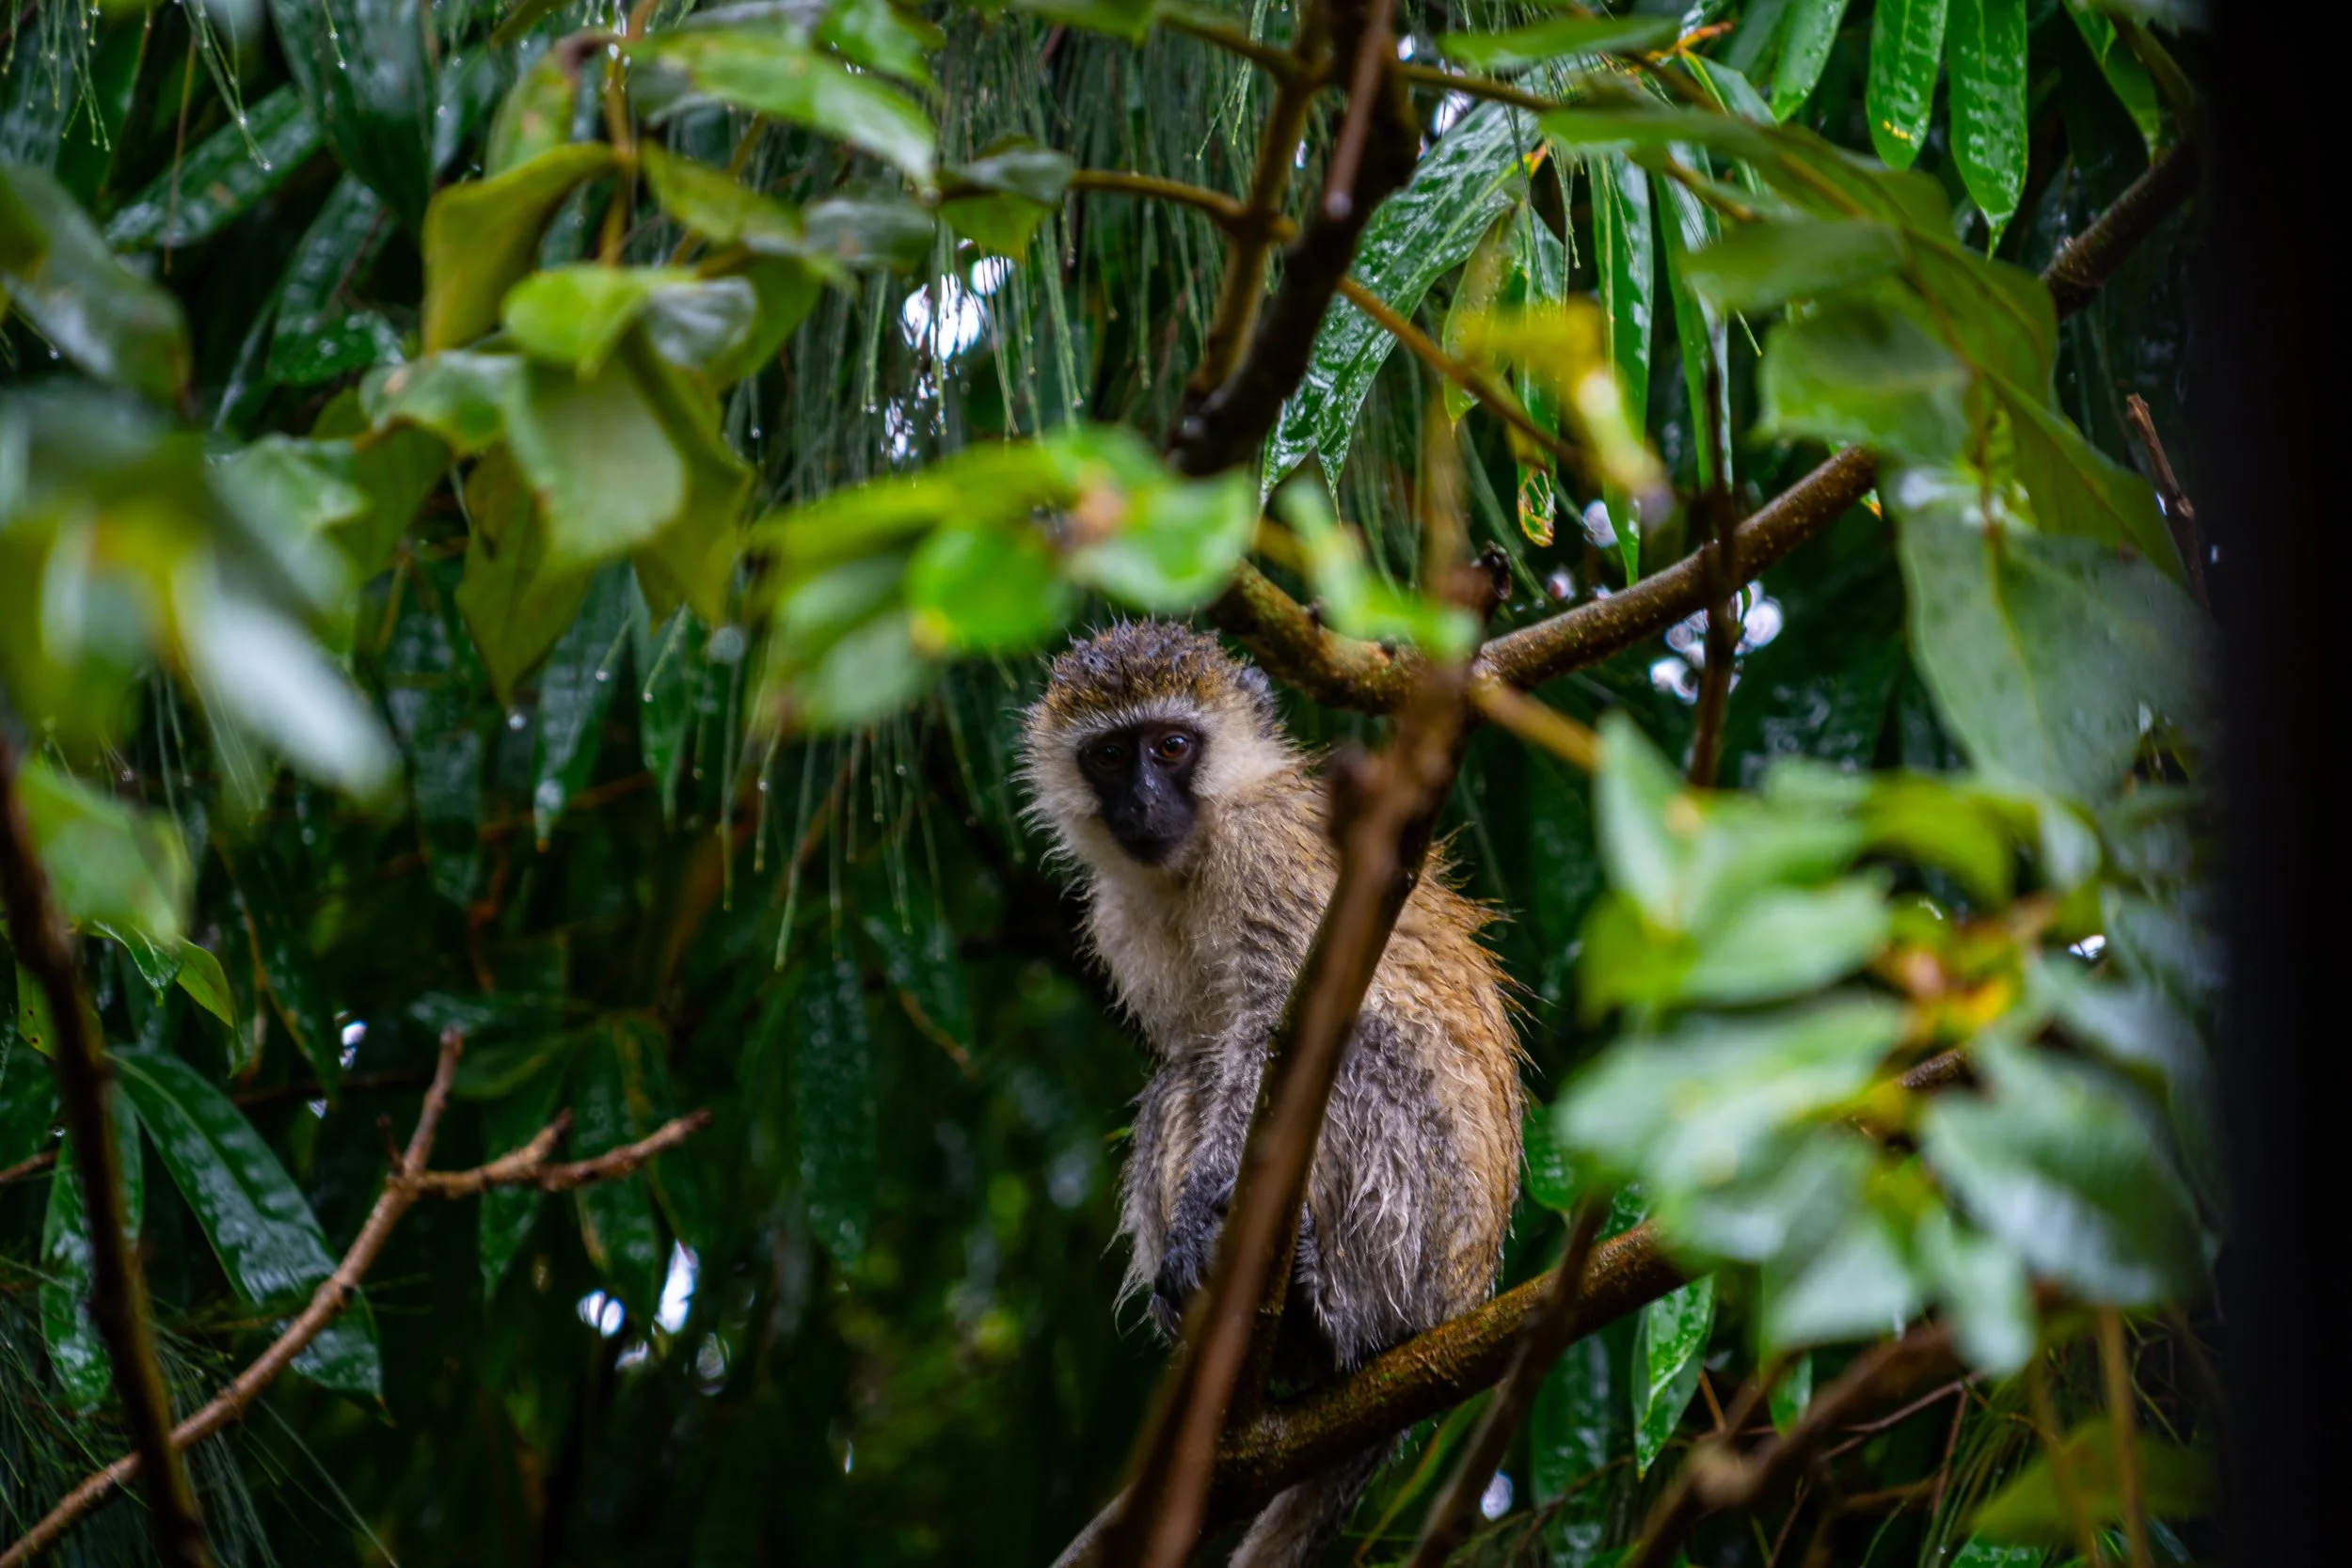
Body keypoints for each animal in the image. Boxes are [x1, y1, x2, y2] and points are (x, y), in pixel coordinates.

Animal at [1020, 621, 1524, 1567]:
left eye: (1171, 746)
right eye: (1109, 756)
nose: (1143, 803)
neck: (1196, 852)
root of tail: (1461, 1305)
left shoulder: (1269, 854)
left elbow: (1273, 1030)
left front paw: (1201, 1222)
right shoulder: (1119, 912)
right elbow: (1205, 1049)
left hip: (1422, 1232)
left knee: (1347, 1055)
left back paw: (1327, 1320)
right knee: (1184, 1075)